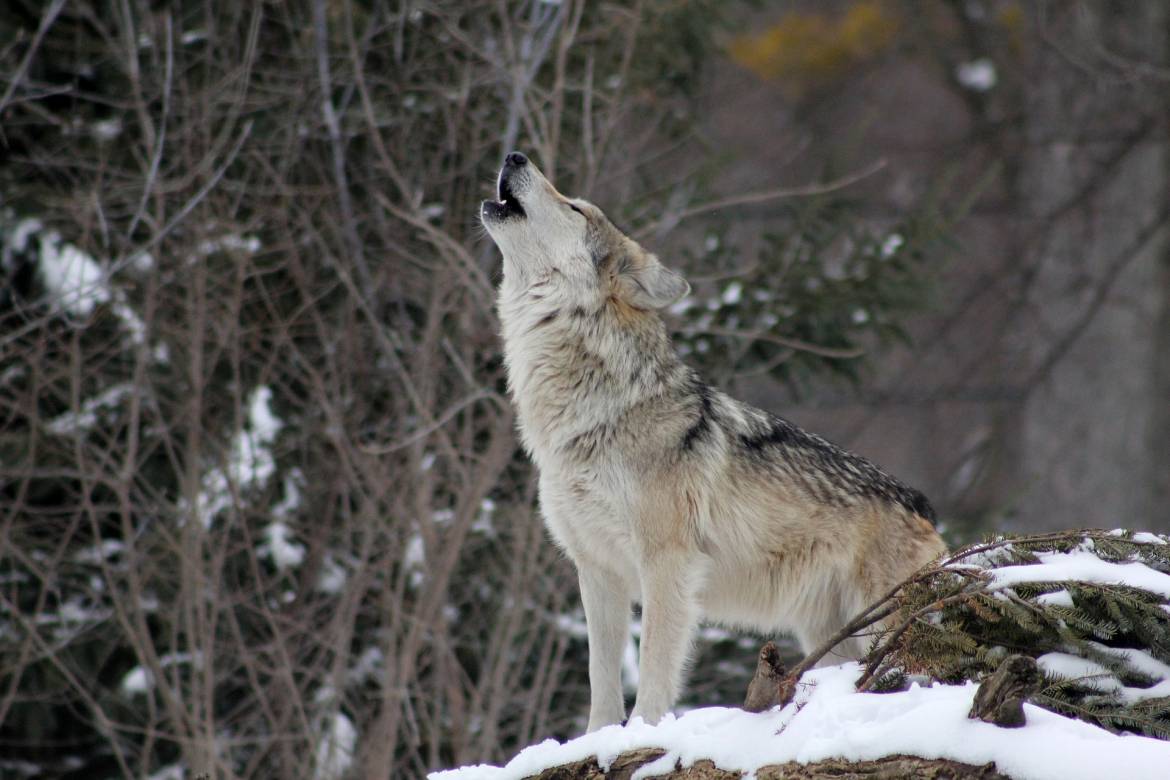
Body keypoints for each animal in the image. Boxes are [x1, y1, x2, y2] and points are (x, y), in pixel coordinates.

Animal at [479, 150, 945, 734]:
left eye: (575, 208)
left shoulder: (667, 564)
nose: (514, 155)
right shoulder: (597, 570)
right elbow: (601, 680)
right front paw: (597, 740)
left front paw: (644, 733)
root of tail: (923, 505)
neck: (593, 414)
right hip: (830, 637)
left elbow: (654, 668)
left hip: (884, 626)